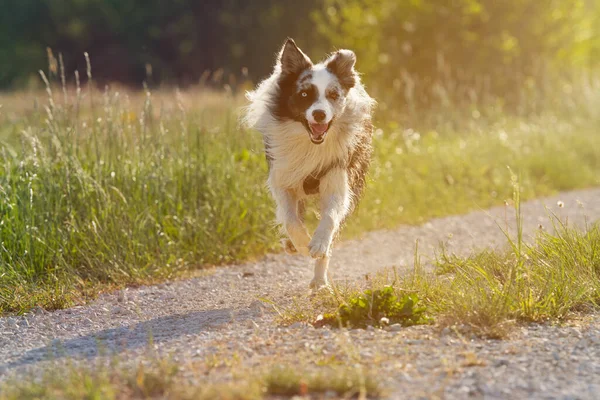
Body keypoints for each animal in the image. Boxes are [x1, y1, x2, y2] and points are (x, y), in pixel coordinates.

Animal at [244, 39, 376, 290]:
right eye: (304, 93)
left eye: (333, 94)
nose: (319, 114)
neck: (310, 144)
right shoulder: (283, 178)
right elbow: (290, 219)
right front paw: (302, 243)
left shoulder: (337, 179)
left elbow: (330, 217)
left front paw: (318, 244)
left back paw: (319, 280)